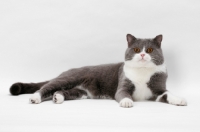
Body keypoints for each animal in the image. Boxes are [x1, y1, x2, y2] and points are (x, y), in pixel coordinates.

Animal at [9, 33, 188, 107]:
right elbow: (122, 93)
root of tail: (65, 71)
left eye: (150, 50)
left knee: (62, 91)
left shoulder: (158, 89)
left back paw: (57, 98)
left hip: (80, 92)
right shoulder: (123, 84)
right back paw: (35, 98)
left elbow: (168, 94)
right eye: (136, 49)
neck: (143, 71)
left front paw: (180, 100)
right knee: (47, 87)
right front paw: (127, 101)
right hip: (69, 78)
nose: (143, 54)